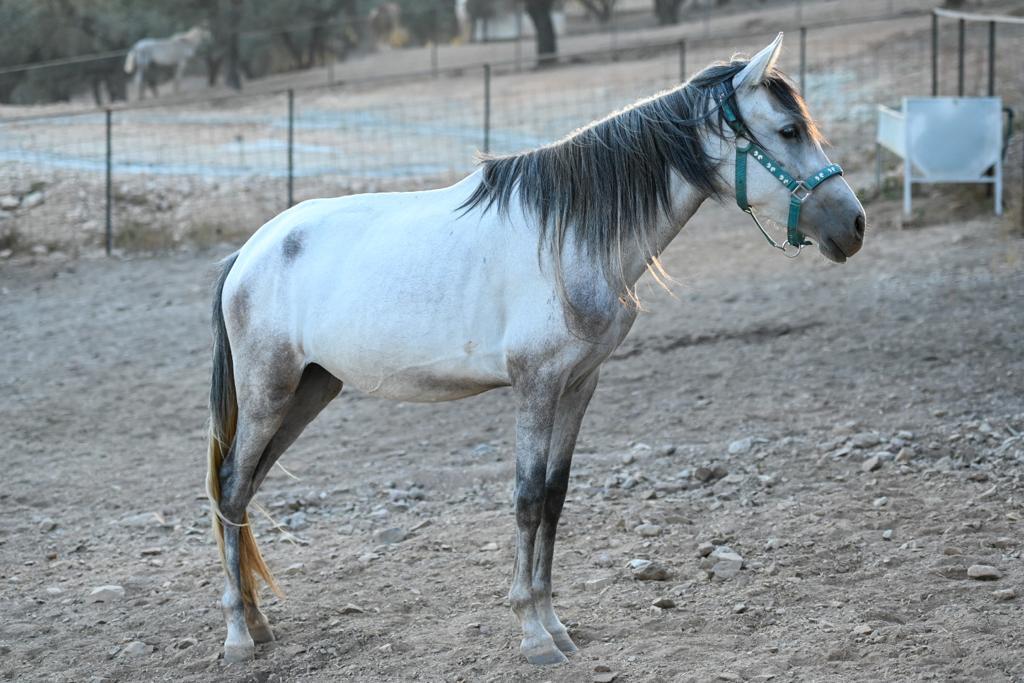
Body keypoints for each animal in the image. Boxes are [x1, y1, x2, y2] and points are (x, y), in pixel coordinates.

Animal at [205, 33, 866, 666]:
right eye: (788, 130)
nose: (854, 225)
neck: (567, 238)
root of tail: (249, 252)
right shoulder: (536, 386)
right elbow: (525, 500)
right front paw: (532, 634)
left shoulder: (578, 385)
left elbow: (553, 497)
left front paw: (556, 625)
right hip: (269, 393)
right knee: (233, 487)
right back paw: (238, 637)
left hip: (310, 390)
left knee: (246, 490)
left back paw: (258, 624)